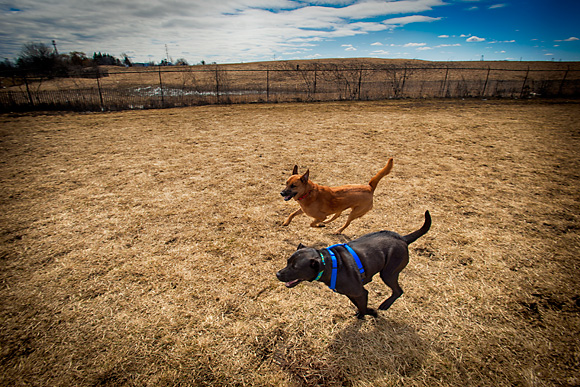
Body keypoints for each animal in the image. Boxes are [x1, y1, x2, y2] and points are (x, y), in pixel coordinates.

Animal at [276, 212, 430, 318]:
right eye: (287, 262)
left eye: (295, 268)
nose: (277, 274)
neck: (330, 265)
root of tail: (403, 239)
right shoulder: (351, 293)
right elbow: (359, 305)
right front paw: (366, 312)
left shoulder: (361, 292)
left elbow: (363, 306)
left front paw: (367, 314)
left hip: (388, 273)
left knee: (398, 291)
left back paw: (385, 305)